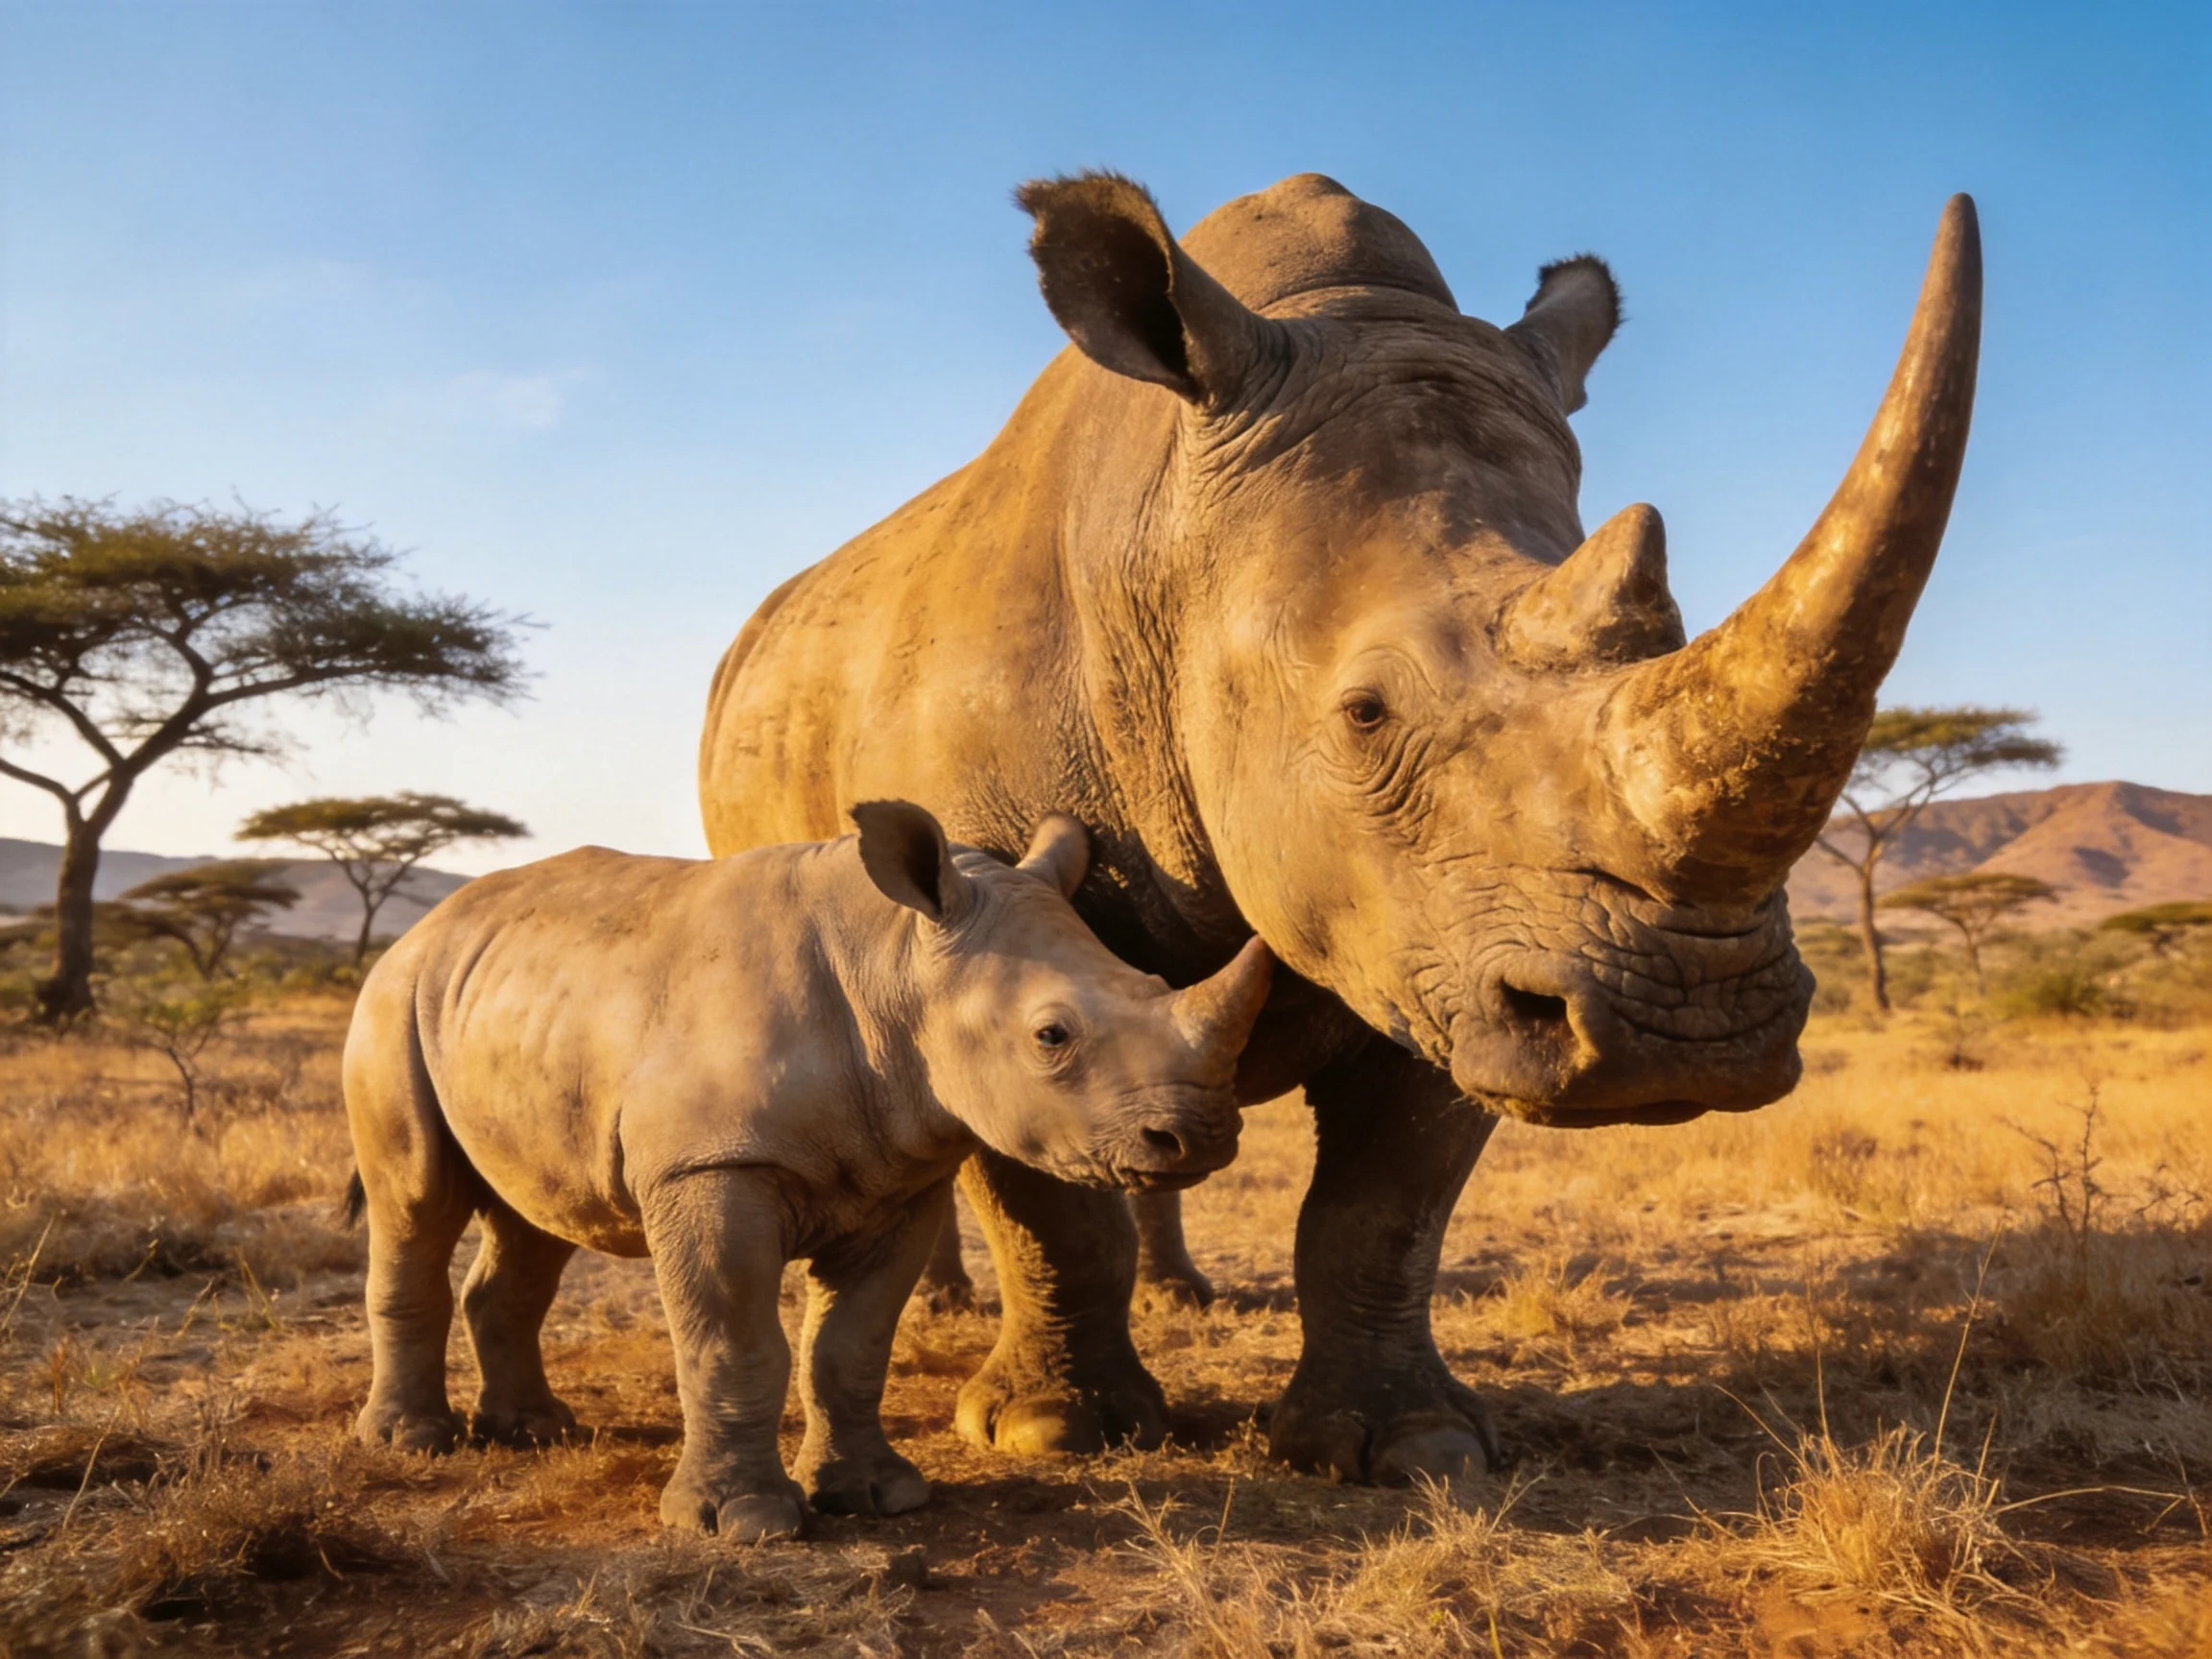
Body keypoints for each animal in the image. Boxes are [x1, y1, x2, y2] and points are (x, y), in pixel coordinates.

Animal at [343, 802, 1273, 1539]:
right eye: (1052, 1036)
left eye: (1152, 980)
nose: (1197, 1137)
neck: (898, 962)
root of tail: (421, 933)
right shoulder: (712, 1164)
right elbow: (734, 1339)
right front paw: (743, 1524)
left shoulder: (902, 1174)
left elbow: (851, 1346)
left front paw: (878, 1497)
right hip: (391, 1004)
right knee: (417, 1201)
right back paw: (410, 1442)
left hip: (510, 1009)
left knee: (537, 1215)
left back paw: (536, 1432)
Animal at [699, 172, 1980, 1481]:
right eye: (1365, 713)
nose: (1691, 1028)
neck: (1168, 556)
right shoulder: (1003, 910)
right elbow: (1045, 1197)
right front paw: (1055, 1432)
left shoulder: (1443, 935)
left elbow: (1384, 1207)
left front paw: (1405, 1446)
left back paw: (1183, 1298)